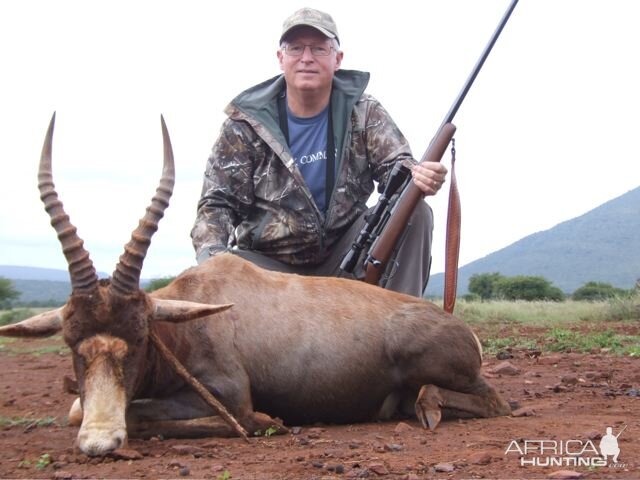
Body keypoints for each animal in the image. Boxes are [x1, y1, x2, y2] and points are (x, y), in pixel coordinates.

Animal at [0, 113, 510, 458]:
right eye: (71, 340)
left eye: (141, 337)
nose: (100, 442)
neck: (191, 314)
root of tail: (462, 329)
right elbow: (76, 408)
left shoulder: (230, 395)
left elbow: (147, 414)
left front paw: (269, 421)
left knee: (492, 400)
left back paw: (430, 408)